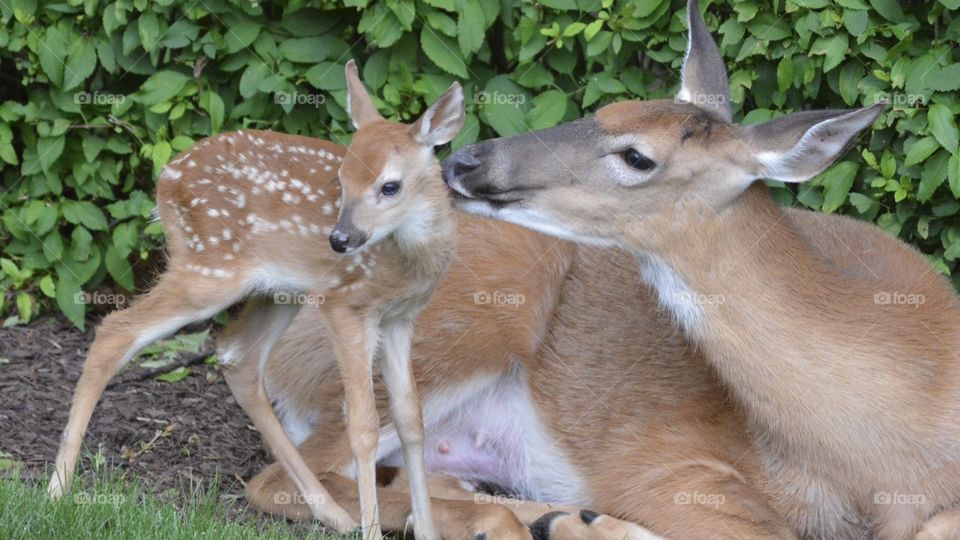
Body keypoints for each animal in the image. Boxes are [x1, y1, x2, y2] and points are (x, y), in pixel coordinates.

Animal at [48, 60, 464, 540]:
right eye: (341, 180)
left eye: (390, 186)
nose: (339, 240)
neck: (407, 261)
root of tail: (166, 179)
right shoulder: (345, 304)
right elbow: (362, 427)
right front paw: (373, 531)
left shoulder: (401, 317)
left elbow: (412, 421)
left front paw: (426, 531)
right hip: (210, 268)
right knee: (116, 330)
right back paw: (57, 489)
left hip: (276, 290)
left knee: (236, 356)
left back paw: (332, 513)